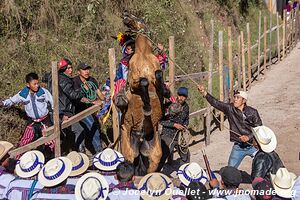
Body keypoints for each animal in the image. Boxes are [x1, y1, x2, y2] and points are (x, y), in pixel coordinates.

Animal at [119, 12, 165, 175]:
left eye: (136, 17)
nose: (125, 15)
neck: (144, 54)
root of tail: (140, 139)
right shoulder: (134, 82)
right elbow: (144, 82)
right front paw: (147, 107)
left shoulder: (156, 73)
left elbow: (158, 75)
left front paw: (163, 92)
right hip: (128, 149)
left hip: (154, 153)